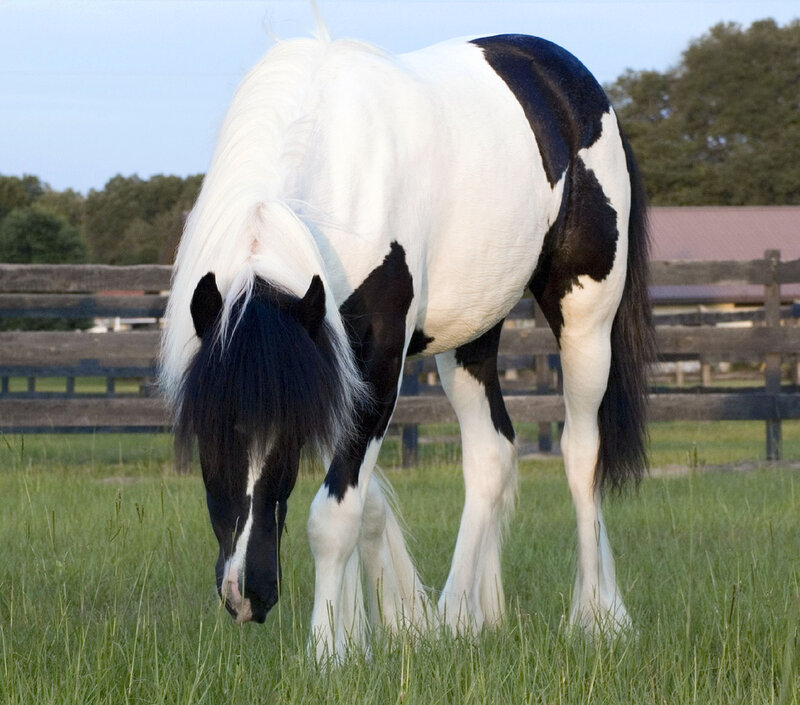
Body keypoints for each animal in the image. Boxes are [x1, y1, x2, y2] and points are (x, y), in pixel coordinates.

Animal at [160, 31, 654, 661]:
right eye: (207, 430)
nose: (249, 595)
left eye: (291, 437)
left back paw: (595, 617)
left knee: (581, 454)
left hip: (586, 318)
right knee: (491, 454)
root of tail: (564, 75)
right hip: (473, 334)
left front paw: (329, 650)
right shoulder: (328, 364)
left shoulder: (376, 359)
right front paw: (382, 626)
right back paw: (461, 618)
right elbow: (361, 499)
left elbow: (333, 513)